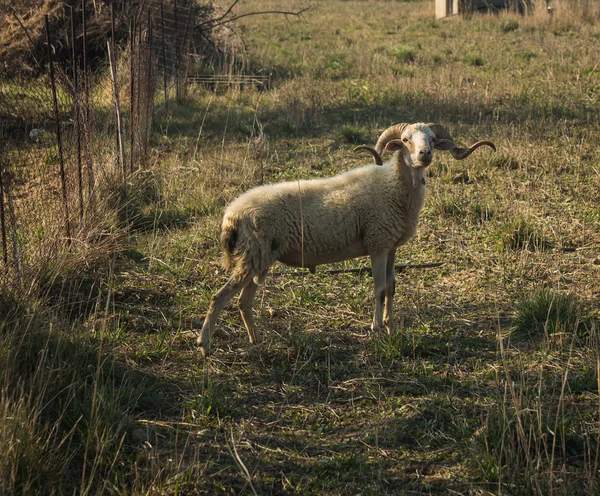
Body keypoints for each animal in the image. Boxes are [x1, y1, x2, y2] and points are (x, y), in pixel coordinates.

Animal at [198, 124, 496, 356]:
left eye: (433, 139)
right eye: (406, 140)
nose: (425, 154)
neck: (394, 186)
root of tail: (231, 215)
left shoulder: (391, 247)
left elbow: (391, 288)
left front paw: (391, 327)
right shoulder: (377, 244)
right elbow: (379, 289)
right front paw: (376, 328)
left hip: (258, 258)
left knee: (243, 302)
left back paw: (255, 340)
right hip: (253, 256)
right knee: (219, 297)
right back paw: (204, 346)